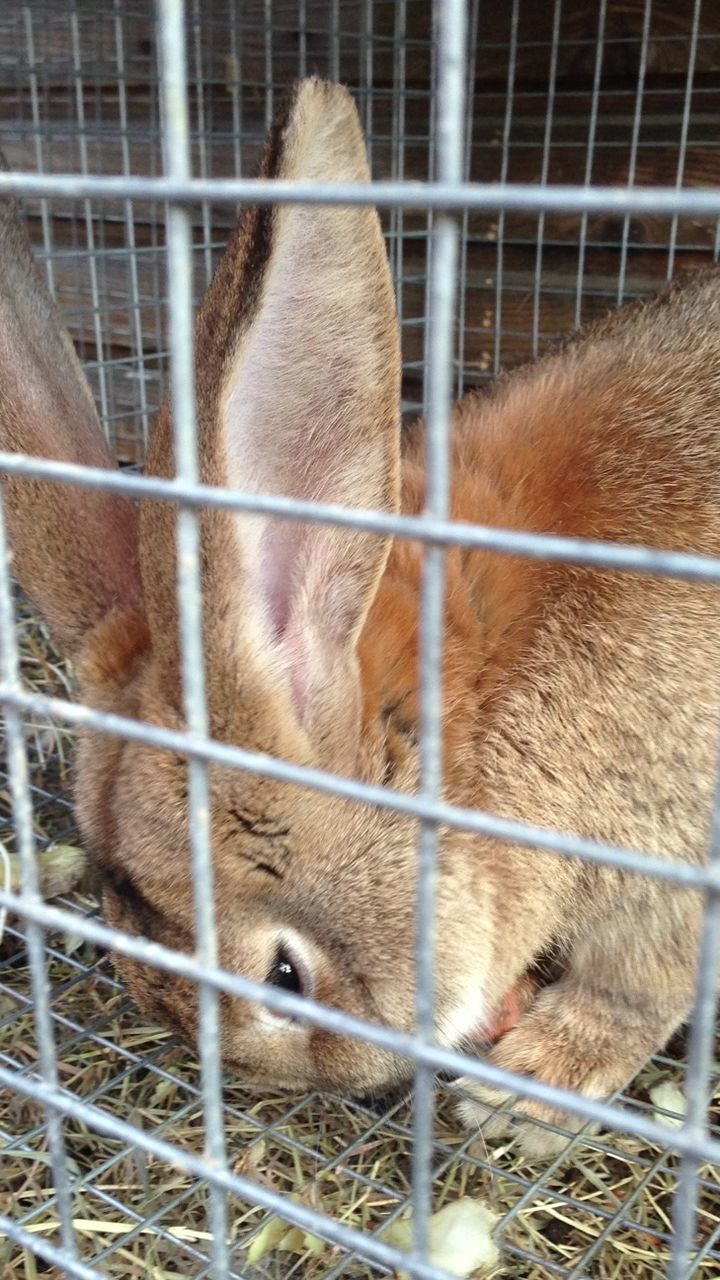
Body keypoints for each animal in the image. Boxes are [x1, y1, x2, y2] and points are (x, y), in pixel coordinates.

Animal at [1, 80, 717, 1162]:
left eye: (285, 978)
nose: (343, 1083)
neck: (478, 696)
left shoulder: (666, 868)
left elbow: (633, 990)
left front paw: (529, 1088)